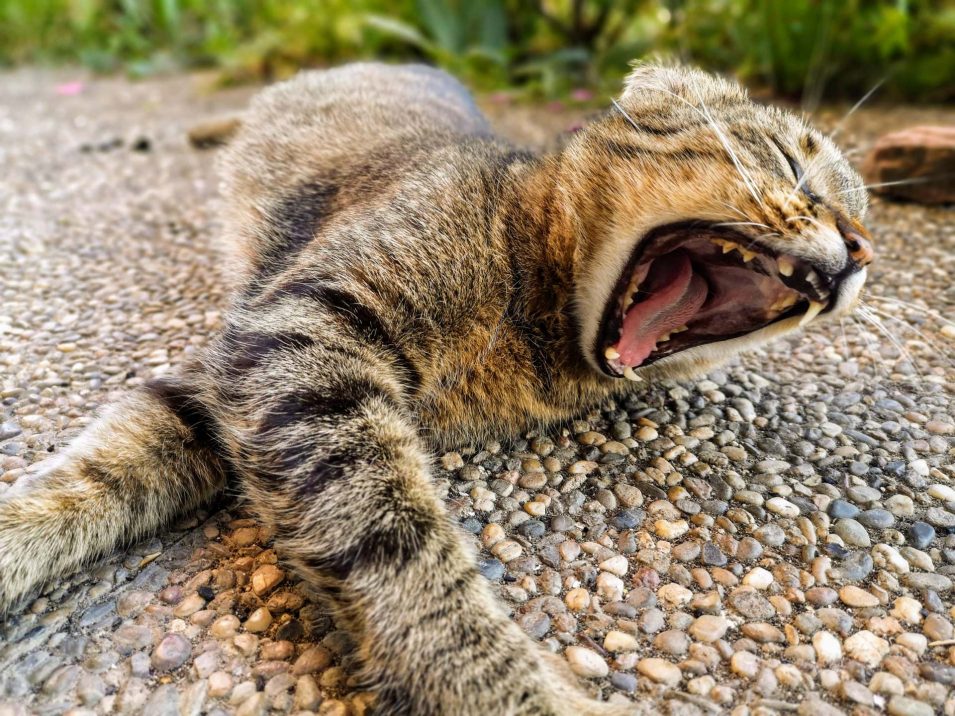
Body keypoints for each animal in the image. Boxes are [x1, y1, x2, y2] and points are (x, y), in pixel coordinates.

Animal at [0, 63, 872, 716]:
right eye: (791, 163)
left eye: (864, 221)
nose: (863, 248)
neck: (542, 342)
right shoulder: (296, 331)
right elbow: (397, 546)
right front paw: (514, 694)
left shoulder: (237, 372)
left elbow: (108, 469)